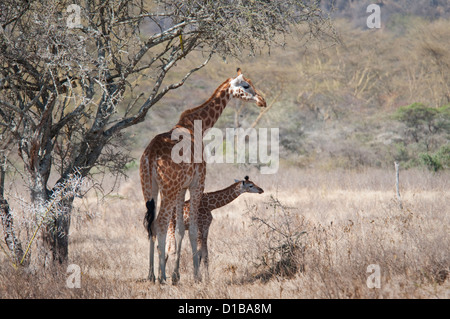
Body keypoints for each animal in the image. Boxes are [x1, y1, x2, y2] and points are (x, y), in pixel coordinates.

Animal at [141, 69, 266, 284]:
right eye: (246, 85)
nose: (262, 101)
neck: (196, 126)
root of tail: (151, 155)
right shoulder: (197, 183)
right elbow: (192, 231)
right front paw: (196, 276)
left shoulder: (182, 188)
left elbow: (180, 230)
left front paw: (177, 275)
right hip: (167, 189)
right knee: (160, 223)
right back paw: (161, 276)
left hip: (149, 188)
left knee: (150, 225)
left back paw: (151, 275)